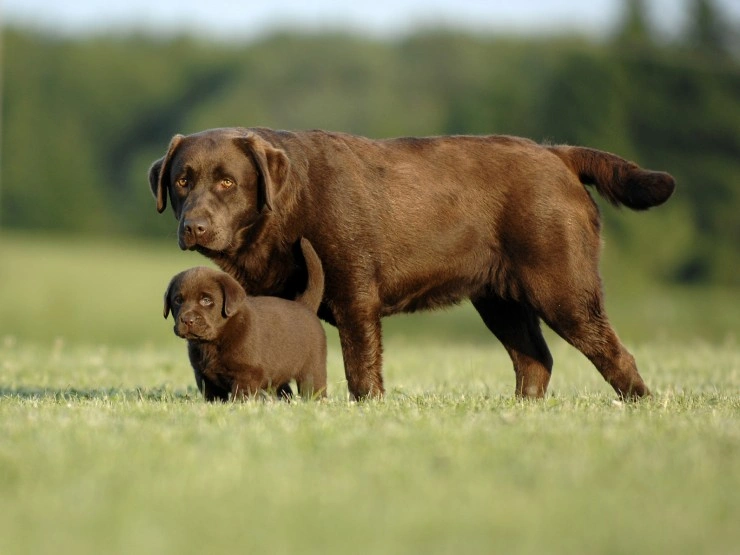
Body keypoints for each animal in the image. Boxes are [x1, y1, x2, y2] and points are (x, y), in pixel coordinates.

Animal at [165, 237, 326, 402]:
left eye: (206, 300)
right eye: (178, 300)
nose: (187, 320)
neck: (214, 340)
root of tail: (304, 305)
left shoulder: (247, 373)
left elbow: (240, 396)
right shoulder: (203, 376)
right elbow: (213, 396)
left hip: (312, 370)